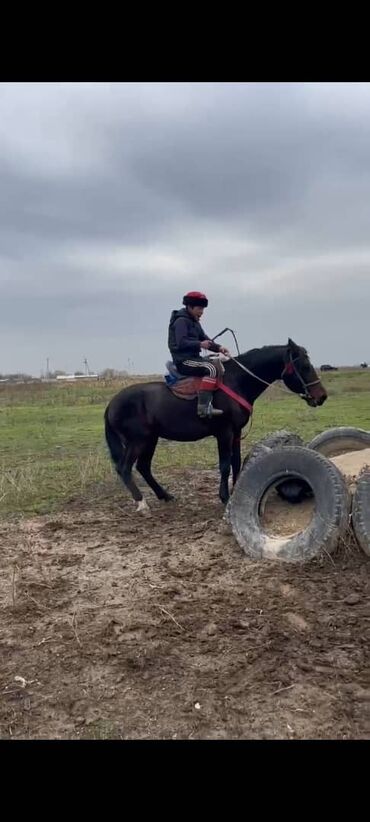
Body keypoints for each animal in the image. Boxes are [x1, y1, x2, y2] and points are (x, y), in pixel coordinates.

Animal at [103, 338, 326, 512]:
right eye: (304, 367)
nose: (321, 396)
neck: (237, 381)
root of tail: (111, 404)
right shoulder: (224, 433)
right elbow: (225, 465)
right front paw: (225, 497)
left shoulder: (236, 432)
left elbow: (236, 462)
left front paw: (236, 492)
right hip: (138, 441)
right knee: (124, 468)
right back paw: (141, 503)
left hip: (150, 440)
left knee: (143, 467)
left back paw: (164, 495)